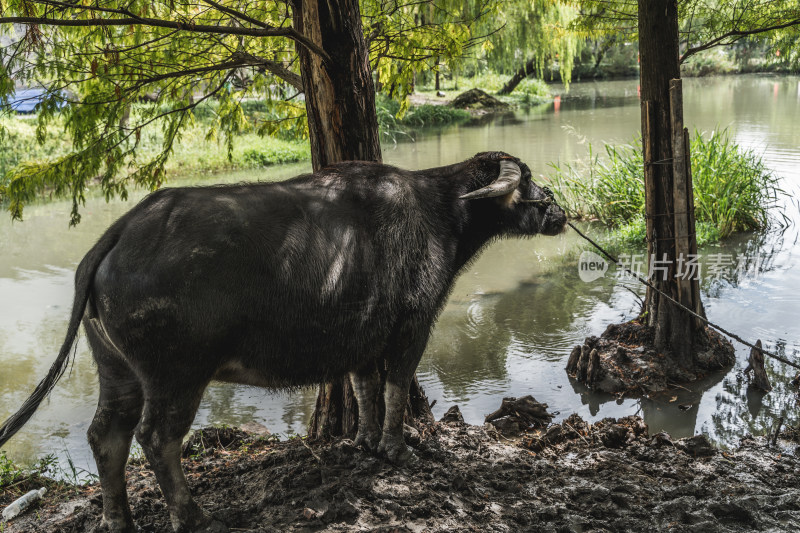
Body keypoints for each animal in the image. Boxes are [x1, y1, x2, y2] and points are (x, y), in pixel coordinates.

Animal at [0, 151, 564, 532]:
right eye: (529, 178)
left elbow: (364, 388)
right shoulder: (413, 326)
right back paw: (195, 516)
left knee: (106, 436)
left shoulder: (361, 337)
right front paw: (397, 449)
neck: (441, 212)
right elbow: (396, 387)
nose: (558, 211)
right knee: (157, 438)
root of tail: (117, 234)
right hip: (175, 374)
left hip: (117, 370)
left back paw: (118, 519)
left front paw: (364, 442)